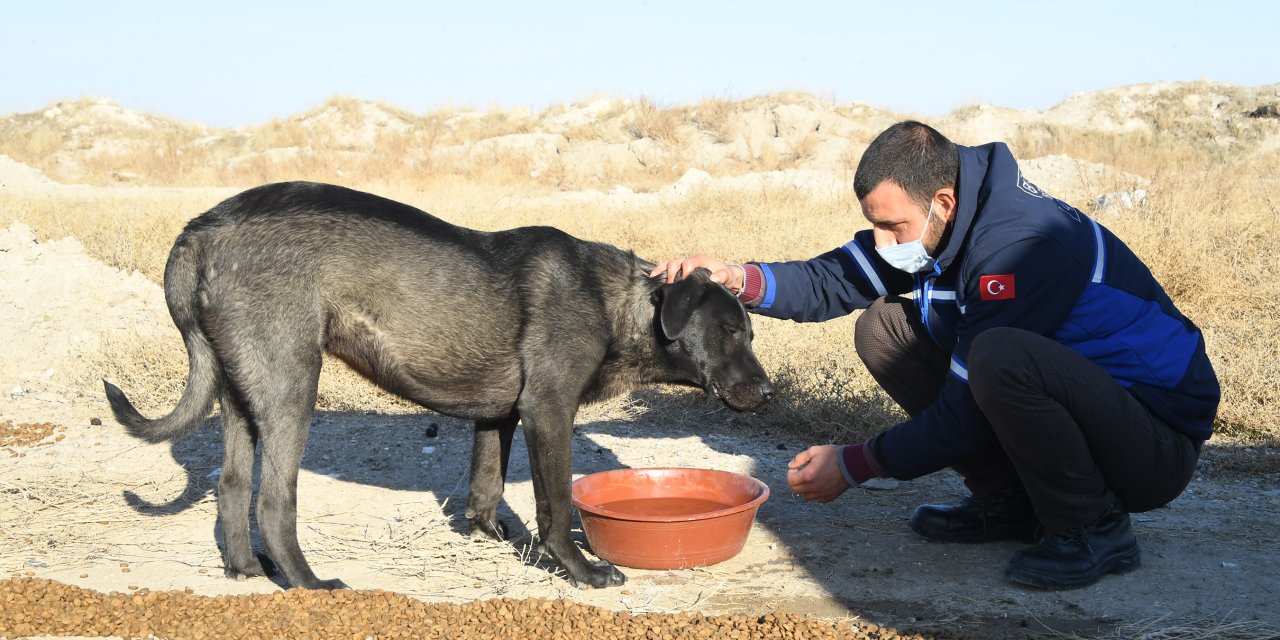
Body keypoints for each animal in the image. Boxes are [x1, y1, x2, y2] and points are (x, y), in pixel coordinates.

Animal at [104, 180, 768, 588]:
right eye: (729, 330)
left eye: (750, 331)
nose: (767, 395)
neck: (618, 305)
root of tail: (202, 227)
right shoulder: (549, 410)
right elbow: (554, 507)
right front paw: (580, 570)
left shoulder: (500, 415)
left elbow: (484, 488)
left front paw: (492, 535)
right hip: (293, 388)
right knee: (273, 502)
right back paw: (310, 583)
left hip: (244, 393)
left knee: (233, 485)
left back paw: (248, 570)